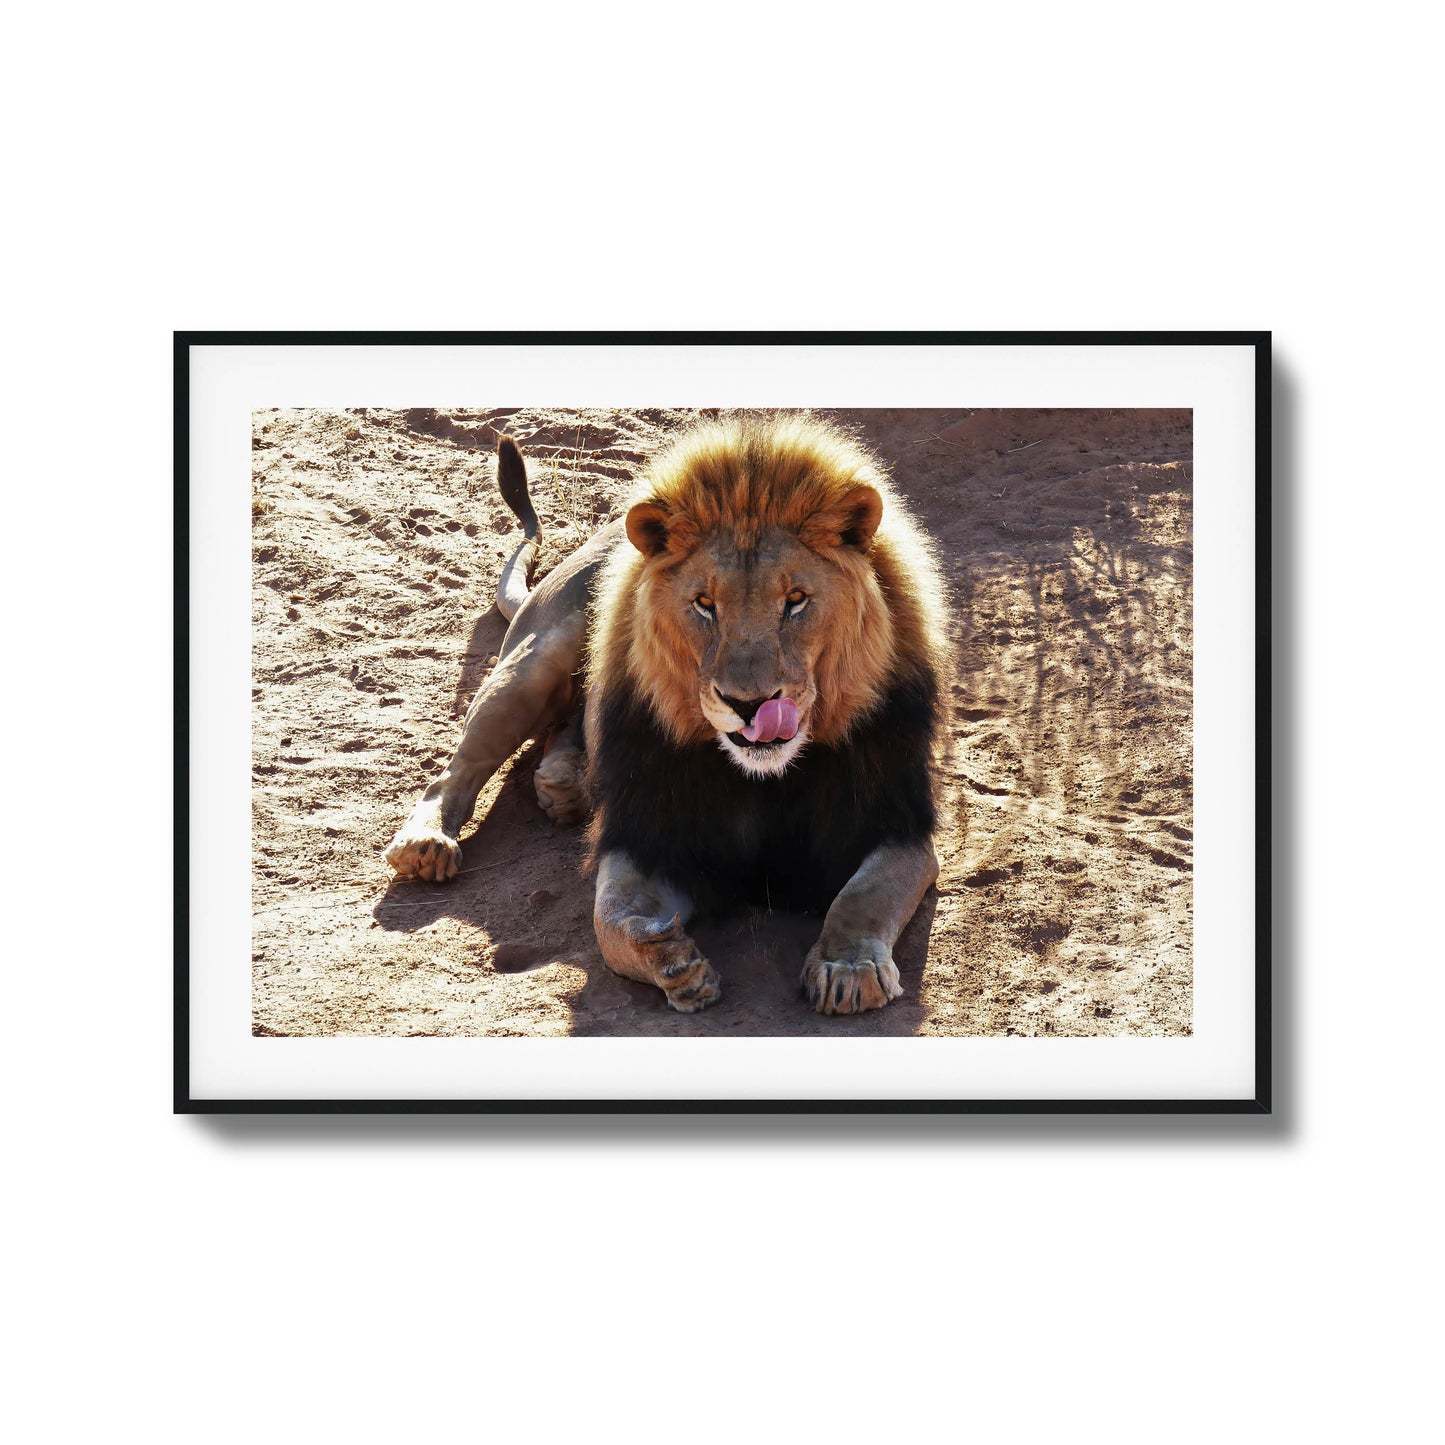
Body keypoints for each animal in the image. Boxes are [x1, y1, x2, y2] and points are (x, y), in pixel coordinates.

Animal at [384, 410, 947, 1017]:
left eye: (796, 600)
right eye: (704, 604)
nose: (749, 705)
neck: (764, 780)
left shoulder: (898, 826)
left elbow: (864, 895)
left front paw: (849, 968)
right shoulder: (650, 834)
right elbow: (609, 917)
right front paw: (671, 961)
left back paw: (565, 783)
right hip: (534, 662)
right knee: (454, 771)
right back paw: (427, 844)